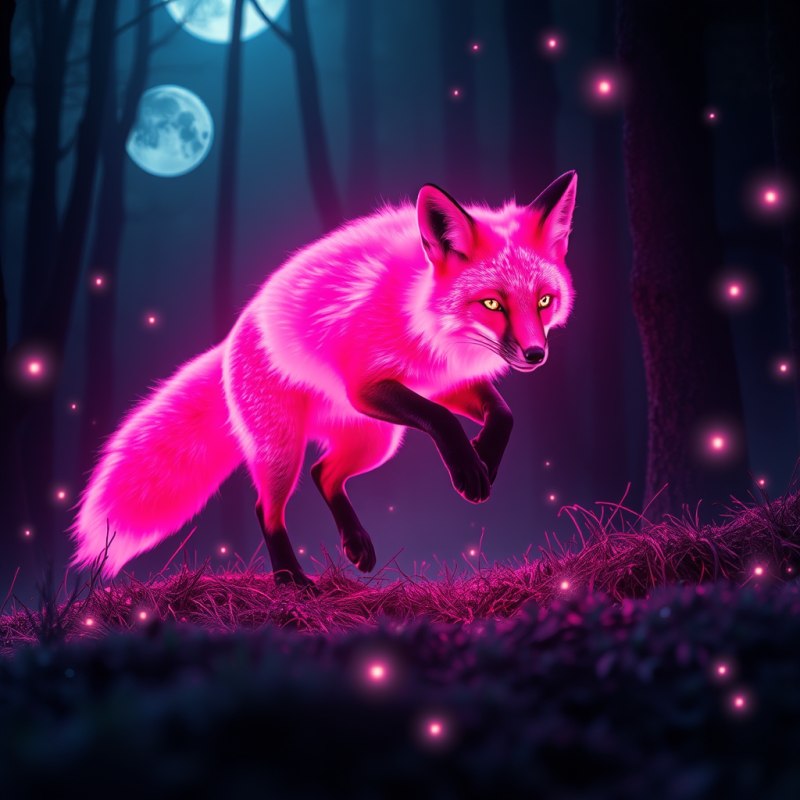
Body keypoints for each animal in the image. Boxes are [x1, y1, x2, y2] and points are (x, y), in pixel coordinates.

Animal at [70, 171, 578, 587]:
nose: (536, 355)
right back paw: (290, 581)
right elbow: (443, 420)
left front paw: (483, 460)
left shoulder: (443, 381)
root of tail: (232, 336)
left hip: (375, 442)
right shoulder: (367, 386)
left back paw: (355, 542)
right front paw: (469, 469)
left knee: (324, 473)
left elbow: (503, 413)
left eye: (544, 300)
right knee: (268, 508)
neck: (426, 315)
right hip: (285, 450)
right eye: (492, 304)